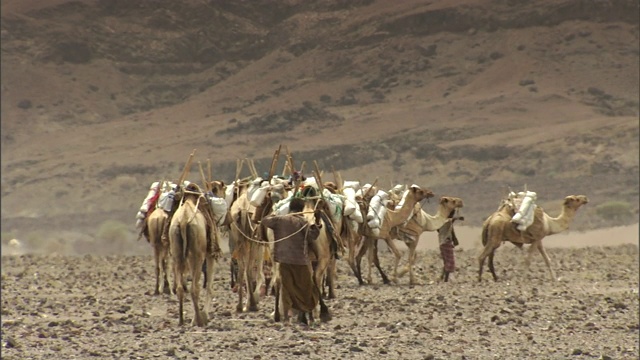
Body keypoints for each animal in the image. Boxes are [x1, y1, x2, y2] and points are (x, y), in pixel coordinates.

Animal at [168, 184, 215, 328]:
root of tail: (183, 221)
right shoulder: (210, 254)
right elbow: (209, 286)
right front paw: (203, 316)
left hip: (177, 252)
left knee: (180, 288)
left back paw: (181, 320)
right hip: (197, 256)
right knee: (195, 288)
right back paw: (198, 320)